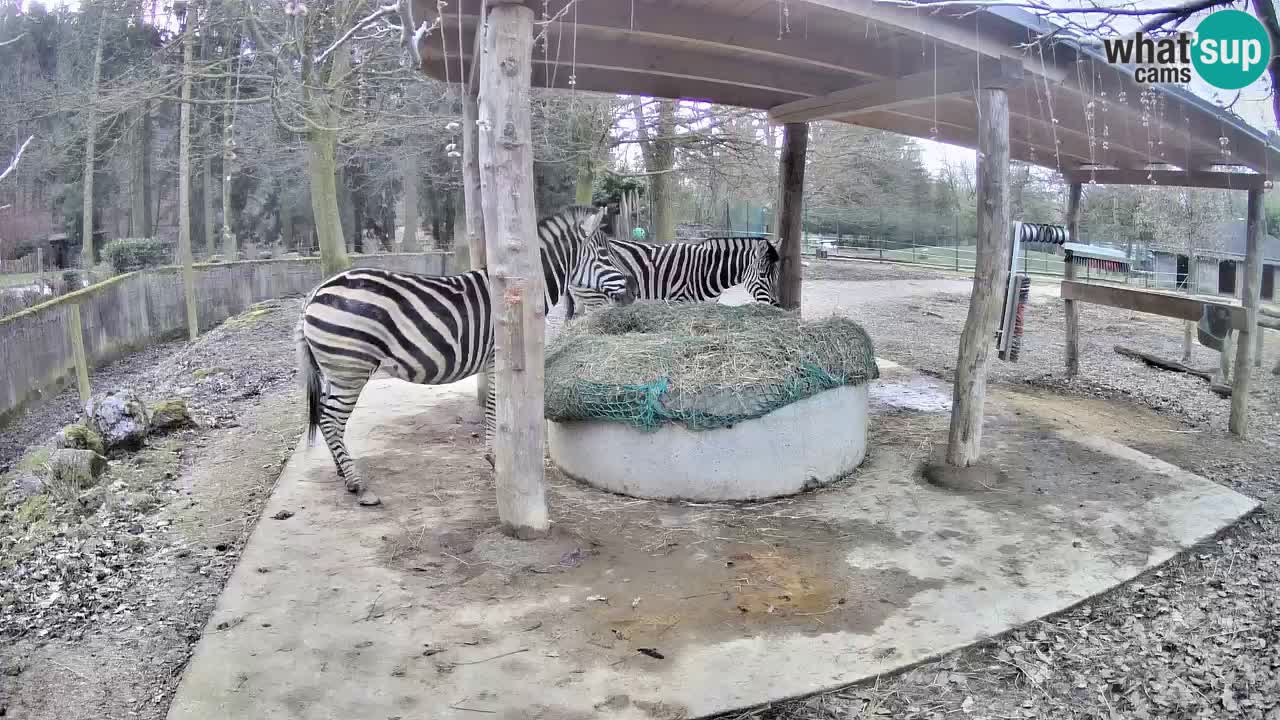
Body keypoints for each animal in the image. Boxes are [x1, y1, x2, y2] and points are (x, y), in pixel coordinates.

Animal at [299, 203, 640, 504]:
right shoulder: (498, 357)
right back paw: (357, 484)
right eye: (606, 255)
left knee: (328, 418)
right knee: (330, 419)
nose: (635, 291)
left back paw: (343, 472)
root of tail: (315, 292)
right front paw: (494, 458)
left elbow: (492, 407)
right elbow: (493, 408)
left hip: (336, 370)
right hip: (350, 368)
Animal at [568, 234, 783, 317]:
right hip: (595, 300)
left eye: (776, 276)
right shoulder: (680, 302)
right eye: (762, 275)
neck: (707, 269)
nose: (777, 306)